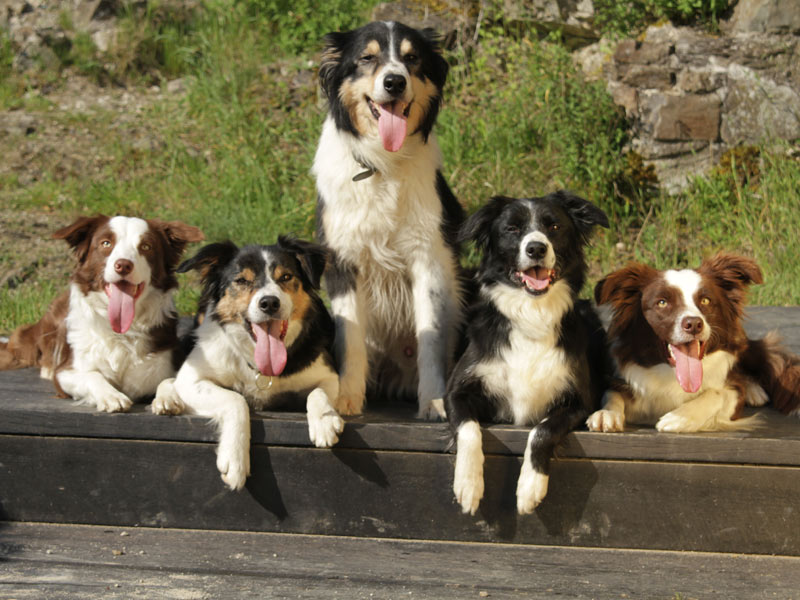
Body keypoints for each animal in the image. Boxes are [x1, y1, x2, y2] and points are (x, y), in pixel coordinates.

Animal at [0, 212, 203, 412]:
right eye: (106, 243)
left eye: (146, 246)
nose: (123, 265)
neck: (122, 332)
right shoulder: (65, 373)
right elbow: (92, 375)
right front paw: (111, 396)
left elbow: (169, 380)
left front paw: (167, 398)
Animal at [152, 237, 342, 490]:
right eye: (241, 280)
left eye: (286, 277)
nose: (269, 303)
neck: (260, 365)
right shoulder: (192, 378)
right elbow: (235, 399)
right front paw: (234, 459)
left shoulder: (329, 373)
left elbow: (318, 392)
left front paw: (324, 422)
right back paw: (166, 399)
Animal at [312, 21, 462, 420]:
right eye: (367, 58)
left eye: (412, 58)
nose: (394, 81)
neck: (382, 165)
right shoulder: (343, 261)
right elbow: (349, 339)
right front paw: (347, 400)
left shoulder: (428, 259)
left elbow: (430, 337)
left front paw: (435, 402)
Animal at [446, 192, 608, 516]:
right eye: (512, 229)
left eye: (554, 226)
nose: (536, 248)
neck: (532, 313)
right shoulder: (456, 391)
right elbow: (469, 428)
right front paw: (469, 484)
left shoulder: (576, 401)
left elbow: (542, 430)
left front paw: (530, 486)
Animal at [584, 252, 800, 432]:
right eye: (662, 302)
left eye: (705, 301)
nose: (694, 324)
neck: (672, 376)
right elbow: (611, 393)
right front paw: (606, 414)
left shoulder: (732, 394)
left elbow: (717, 393)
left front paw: (679, 417)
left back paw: (754, 390)